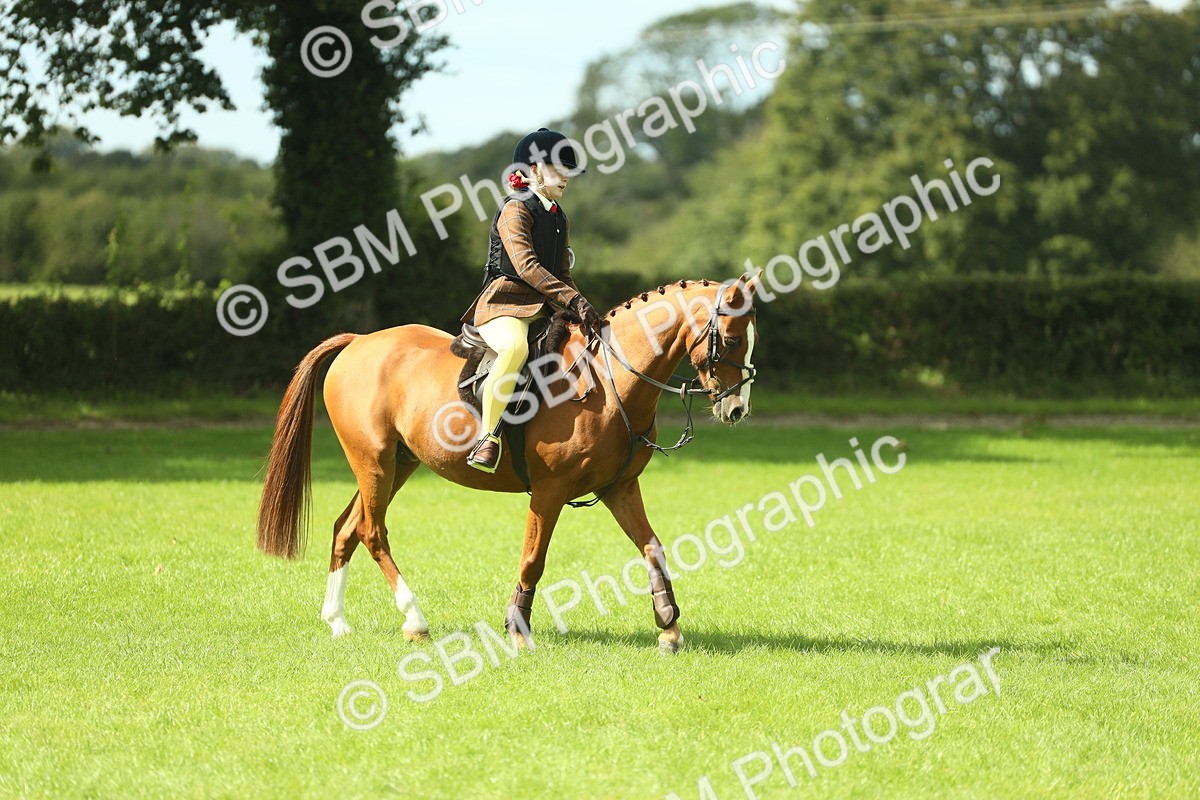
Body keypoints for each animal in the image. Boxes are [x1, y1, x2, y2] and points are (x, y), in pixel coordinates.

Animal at [255, 272, 762, 652]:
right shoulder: (550, 491)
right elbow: (533, 559)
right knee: (371, 531)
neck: (609, 379)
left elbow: (652, 547)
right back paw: (415, 620)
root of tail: (358, 341)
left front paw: (669, 626)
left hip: (397, 464)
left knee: (346, 528)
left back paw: (337, 621)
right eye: (732, 339)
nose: (736, 410)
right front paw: (518, 632)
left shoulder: (619, 487)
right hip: (373, 462)